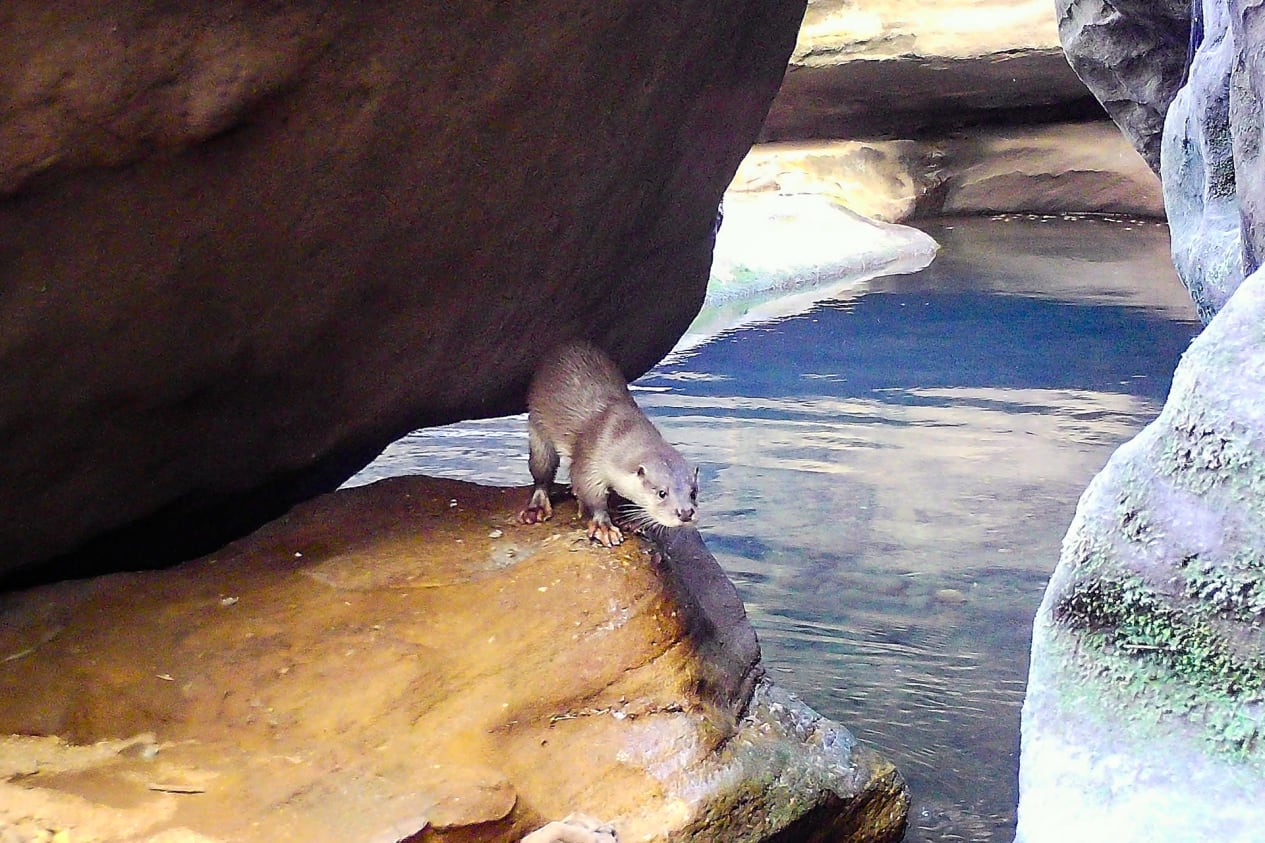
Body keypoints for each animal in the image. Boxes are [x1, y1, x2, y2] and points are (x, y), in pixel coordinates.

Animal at [518, 341, 699, 546]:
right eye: (662, 493)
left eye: (693, 493)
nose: (685, 513)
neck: (619, 432)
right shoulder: (590, 458)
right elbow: (589, 491)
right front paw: (603, 526)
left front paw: (632, 520)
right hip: (538, 429)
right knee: (541, 471)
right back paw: (537, 507)